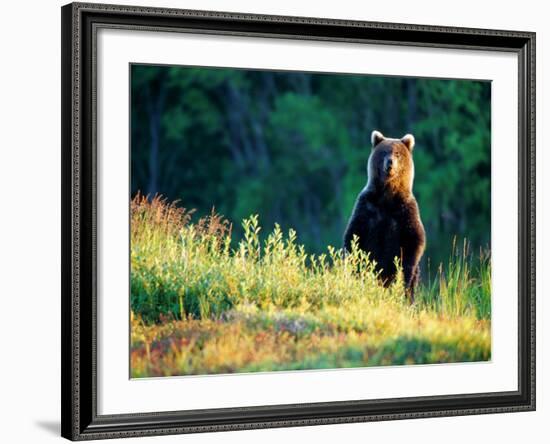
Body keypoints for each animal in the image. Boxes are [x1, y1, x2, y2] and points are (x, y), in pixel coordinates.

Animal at [344, 129, 426, 302]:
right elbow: (354, 235)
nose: (390, 163)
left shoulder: (405, 210)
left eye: (397, 153)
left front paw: (404, 276)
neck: (387, 197)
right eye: (384, 152)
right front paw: (353, 264)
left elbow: (414, 241)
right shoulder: (367, 207)